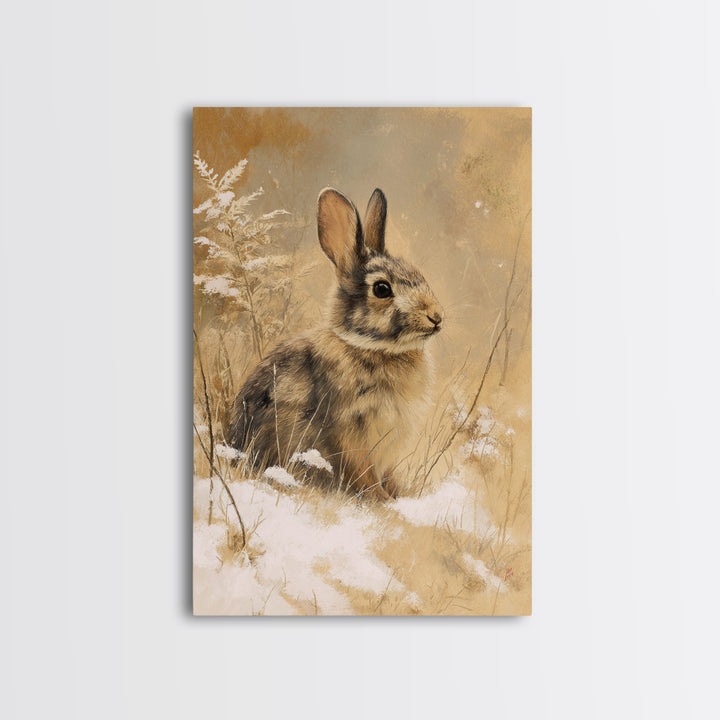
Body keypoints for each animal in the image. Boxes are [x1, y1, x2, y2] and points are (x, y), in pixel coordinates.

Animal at [228, 187, 444, 499]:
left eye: (418, 274)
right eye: (382, 289)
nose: (436, 317)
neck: (369, 346)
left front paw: (398, 495)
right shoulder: (352, 434)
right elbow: (363, 474)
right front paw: (380, 500)